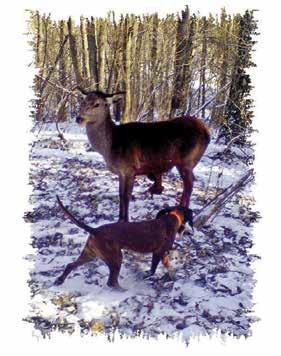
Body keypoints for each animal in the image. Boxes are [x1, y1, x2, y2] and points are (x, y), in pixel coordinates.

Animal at [53, 196, 191, 290]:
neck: (172, 217)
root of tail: (95, 230)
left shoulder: (160, 254)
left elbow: (163, 268)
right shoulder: (159, 253)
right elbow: (154, 269)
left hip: (90, 254)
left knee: (70, 265)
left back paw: (59, 280)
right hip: (116, 258)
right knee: (111, 282)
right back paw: (123, 291)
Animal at [75, 87, 209, 221]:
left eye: (97, 104)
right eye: (83, 101)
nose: (79, 118)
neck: (110, 147)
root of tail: (207, 132)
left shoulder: (130, 168)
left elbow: (126, 196)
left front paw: (125, 220)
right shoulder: (121, 172)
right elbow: (120, 194)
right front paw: (119, 219)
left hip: (186, 161)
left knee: (189, 185)